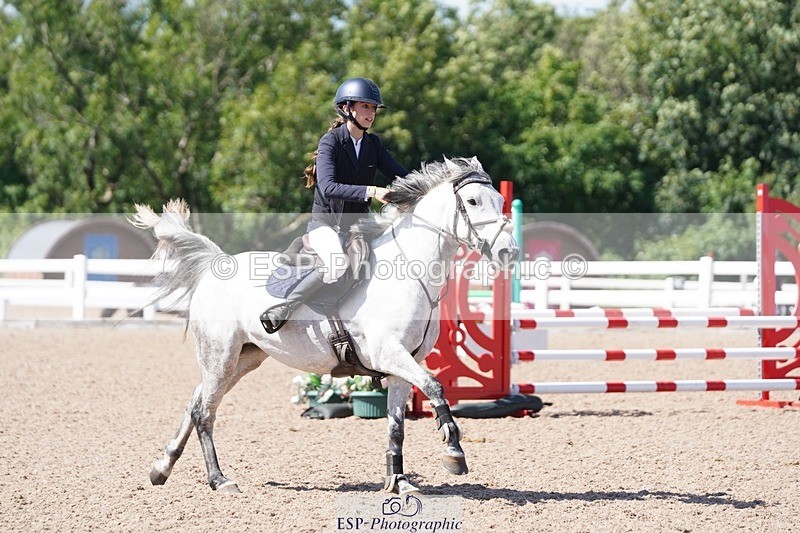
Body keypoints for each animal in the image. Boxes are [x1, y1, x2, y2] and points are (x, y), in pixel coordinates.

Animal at [133, 157, 518, 495]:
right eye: (472, 201)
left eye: (500, 201)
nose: (509, 253)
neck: (411, 272)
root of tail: (218, 264)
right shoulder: (389, 354)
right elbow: (437, 388)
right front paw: (454, 454)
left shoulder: (402, 367)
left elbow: (397, 426)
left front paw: (399, 482)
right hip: (220, 355)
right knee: (204, 412)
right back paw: (219, 480)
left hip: (244, 359)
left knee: (196, 400)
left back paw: (162, 467)